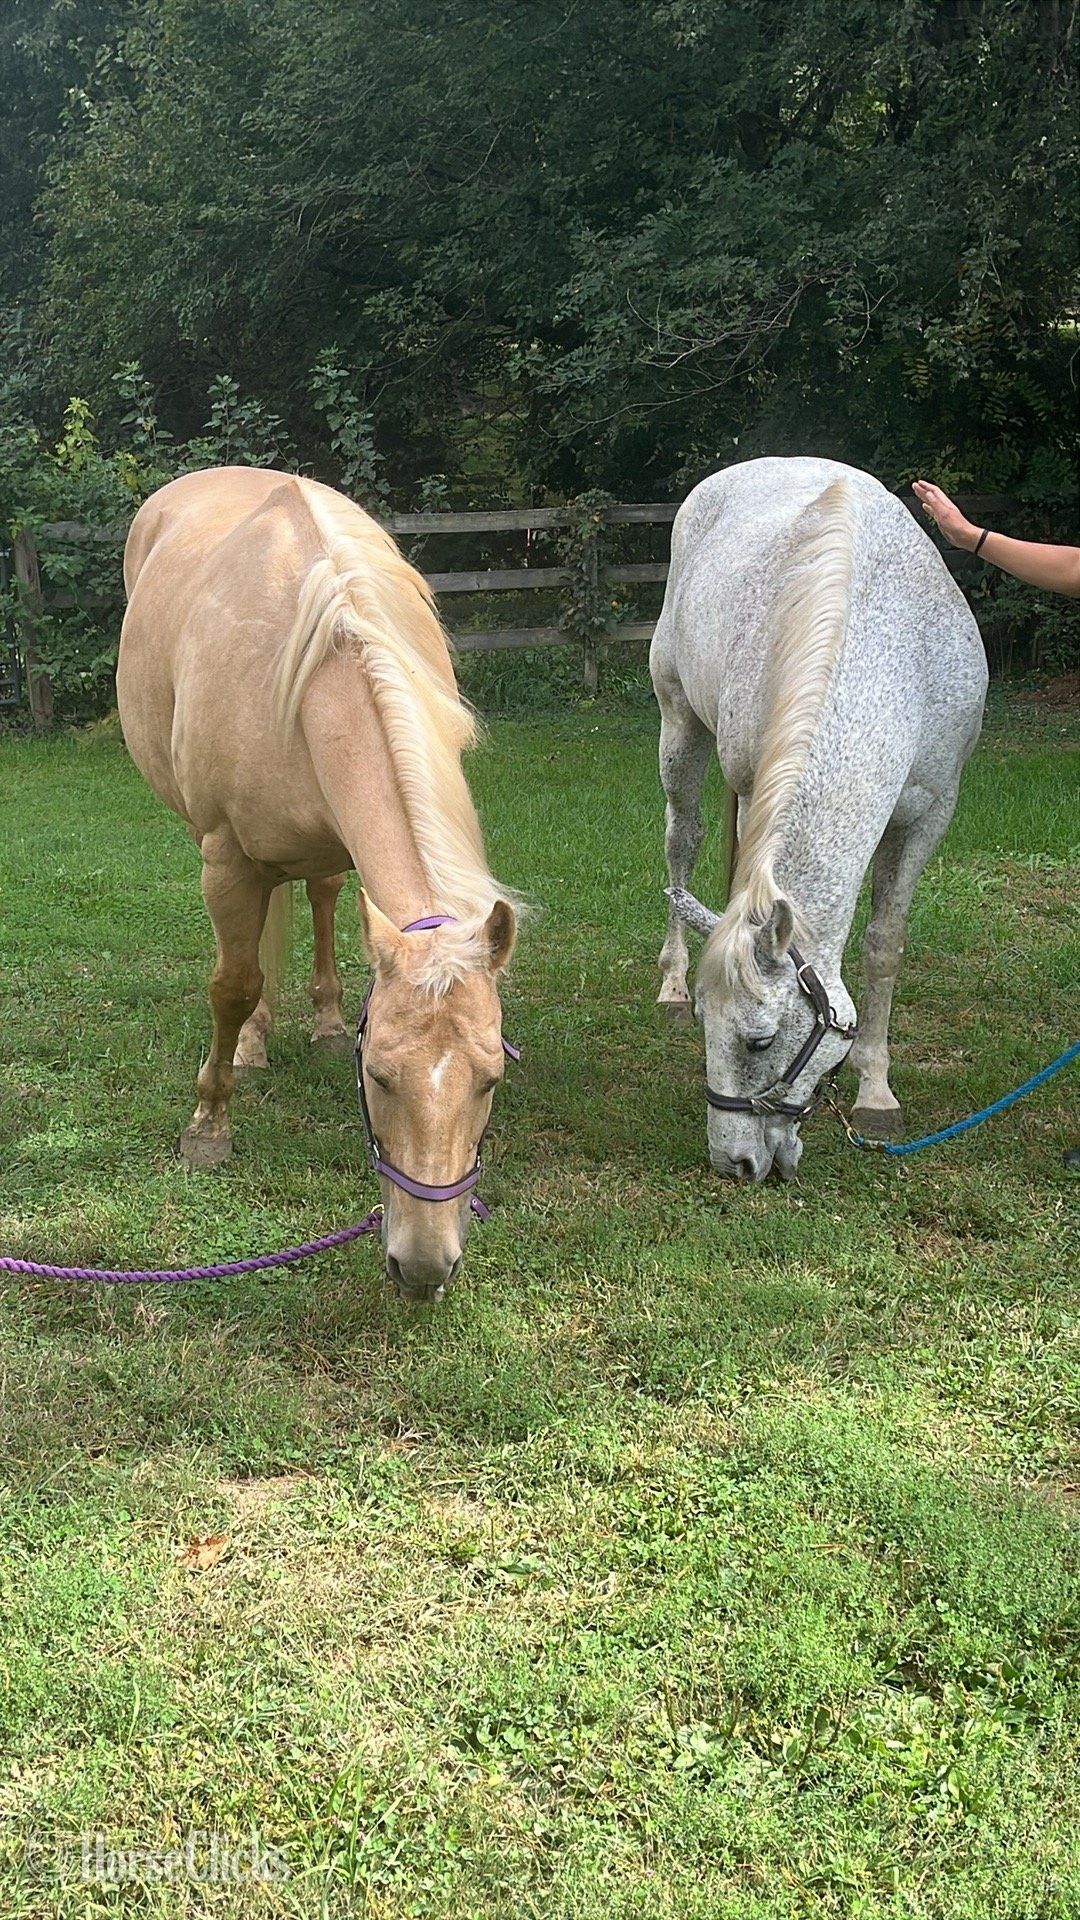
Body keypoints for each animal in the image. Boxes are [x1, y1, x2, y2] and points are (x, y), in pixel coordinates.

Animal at [117, 467, 519, 1302]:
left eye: (490, 1081)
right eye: (380, 1078)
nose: (424, 1265)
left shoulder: (337, 842)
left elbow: (327, 906)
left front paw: (330, 1022)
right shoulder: (226, 856)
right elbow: (232, 984)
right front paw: (209, 1126)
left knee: (318, 898)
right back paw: (253, 1040)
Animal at [650, 456, 987, 1182]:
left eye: (761, 1040)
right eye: (708, 1026)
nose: (734, 1164)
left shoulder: (928, 816)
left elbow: (884, 944)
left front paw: (876, 1091)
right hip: (679, 727)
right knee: (682, 843)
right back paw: (670, 980)